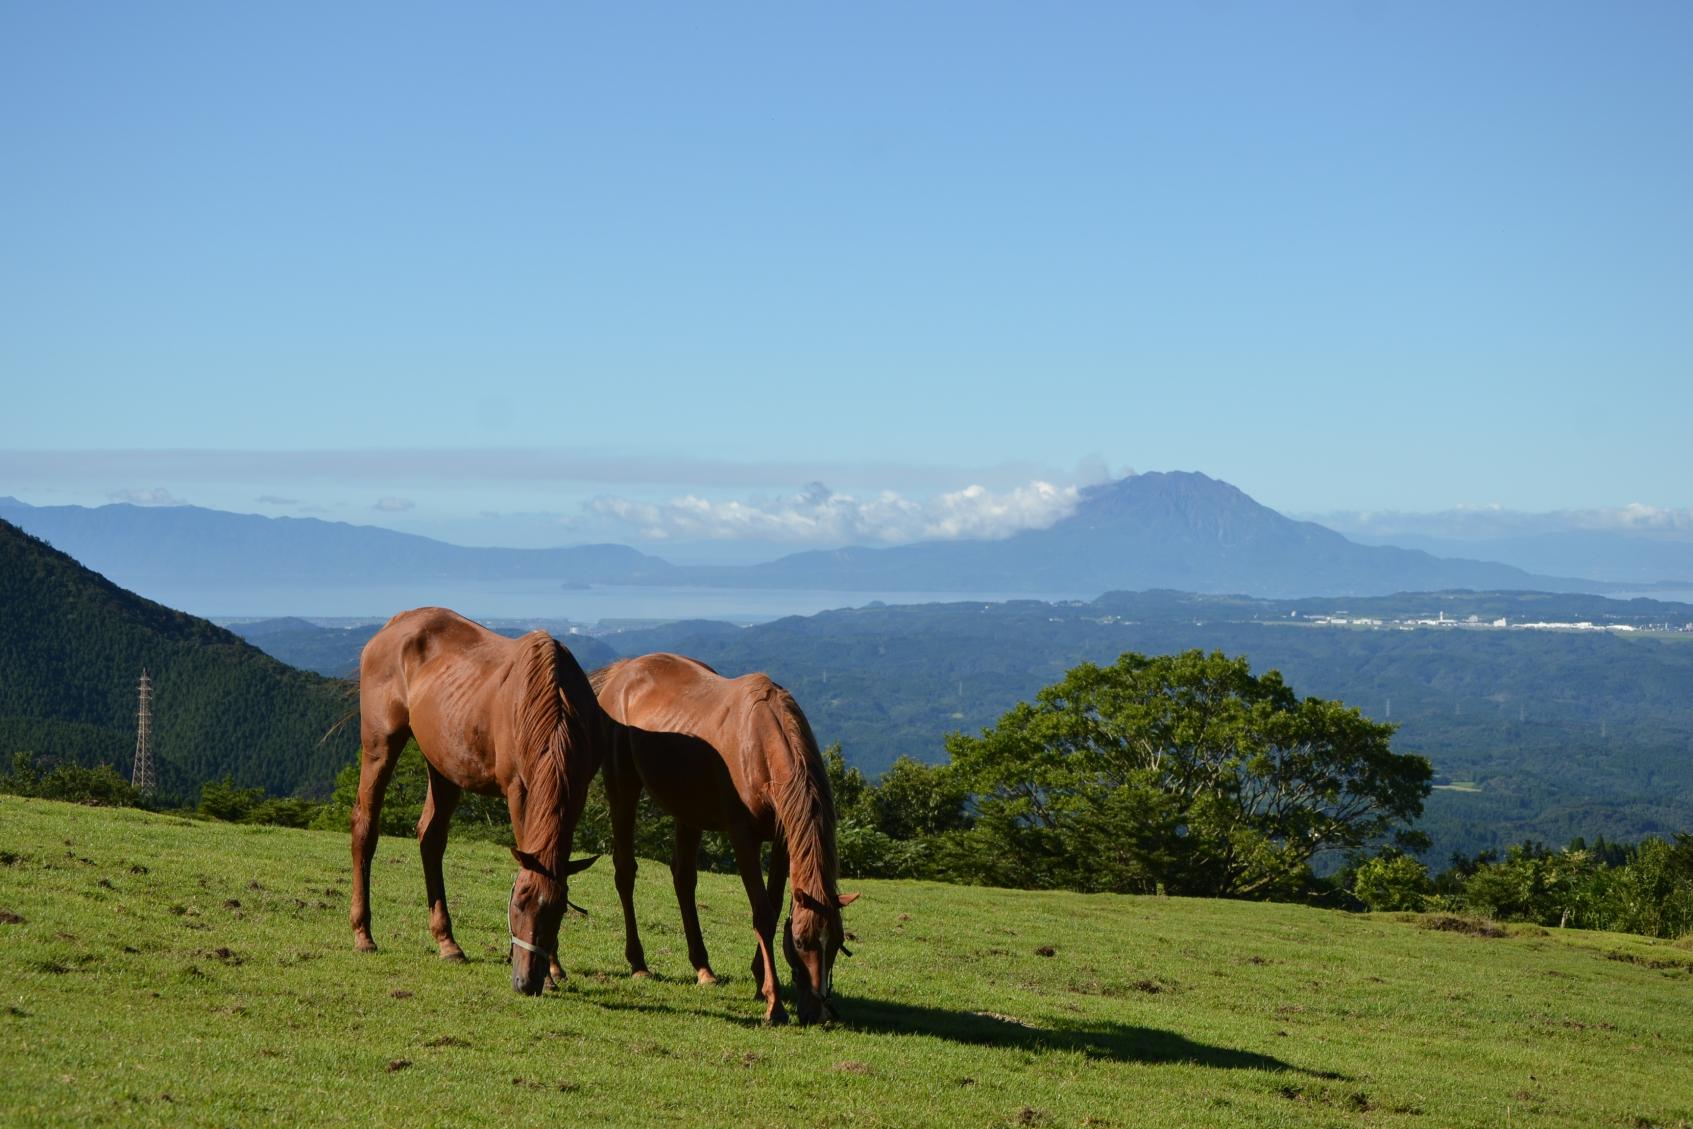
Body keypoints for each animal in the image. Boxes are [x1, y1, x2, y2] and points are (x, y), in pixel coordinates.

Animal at [347, 609, 606, 995]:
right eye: (518, 903)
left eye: (560, 910)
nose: (526, 981)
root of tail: (395, 624)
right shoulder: (519, 790)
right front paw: (549, 973)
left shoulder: (577, 792)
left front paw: (555, 968)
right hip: (380, 745)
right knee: (365, 826)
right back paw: (363, 934)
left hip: (442, 762)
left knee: (431, 838)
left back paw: (447, 943)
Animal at [595, 649, 860, 1029]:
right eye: (800, 940)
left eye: (837, 942)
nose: (818, 1012)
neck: (759, 743)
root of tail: (623, 670)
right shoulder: (742, 837)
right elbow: (762, 912)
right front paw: (774, 1003)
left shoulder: (782, 840)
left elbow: (774, 904)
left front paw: (759, 981)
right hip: (622, 790)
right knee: (625, 871)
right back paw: (639, 963)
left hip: (687, 811)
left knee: (683, 879)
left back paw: (703, 968)